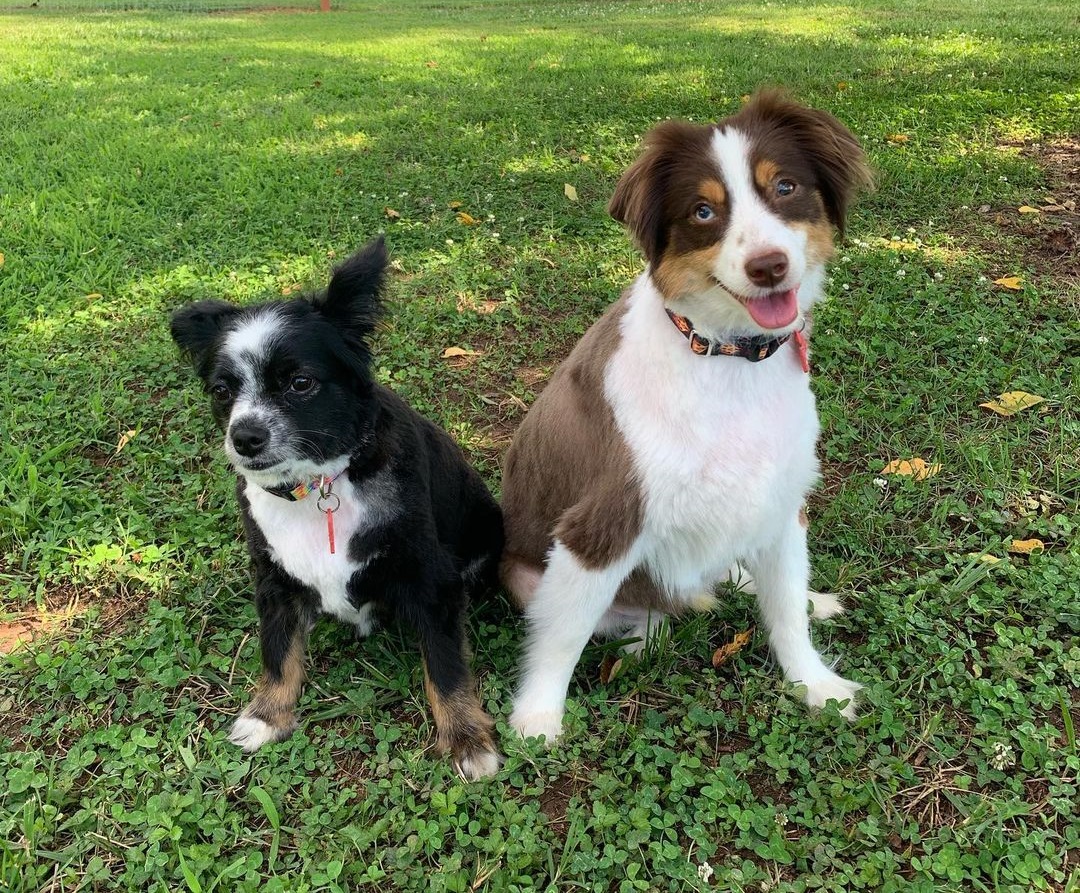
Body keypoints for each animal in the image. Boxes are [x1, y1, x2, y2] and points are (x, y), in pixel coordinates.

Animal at [169, 239, 505, 781]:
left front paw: (466, 737)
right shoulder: (274, 580)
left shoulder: (431, 579)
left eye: (301, 383)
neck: (318, 485)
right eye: (222, 391)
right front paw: (267, 714)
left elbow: (446, 666)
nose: (244, 437)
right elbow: (277, 650)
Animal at [501, 94, 872, 742]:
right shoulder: (603, 523)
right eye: (703, 211)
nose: (770, 266)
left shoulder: (782, 496)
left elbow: (785, 609)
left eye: (785, 186)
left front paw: (815, 684)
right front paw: (537, 717)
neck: (725, 356)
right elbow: (563, 635)